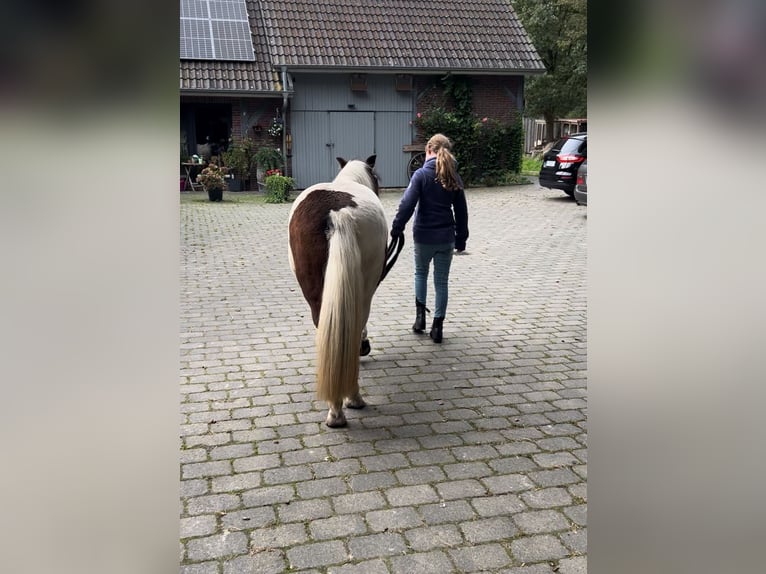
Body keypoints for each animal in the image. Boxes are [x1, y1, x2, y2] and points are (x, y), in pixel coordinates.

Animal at [292, 154, 392, 428]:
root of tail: (336, 213)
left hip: (314, 293)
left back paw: (335, 409)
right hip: (364, 287)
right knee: (355, 324)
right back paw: (351, 400)